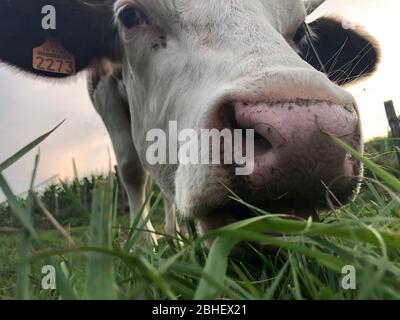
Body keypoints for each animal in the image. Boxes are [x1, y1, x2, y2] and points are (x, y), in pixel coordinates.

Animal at [0, 1, 378, 239]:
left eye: (301, 33)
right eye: (129, 15)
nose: (304, 135)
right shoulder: (102, 91)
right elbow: (131, 170)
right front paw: (145, 248)